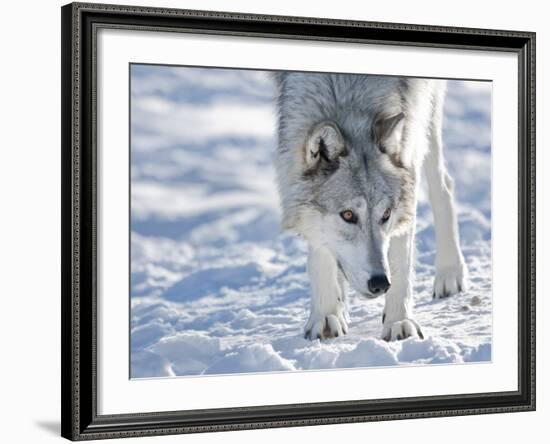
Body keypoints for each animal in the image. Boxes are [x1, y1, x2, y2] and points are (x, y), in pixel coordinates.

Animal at [274, 73, 468, 342]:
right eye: (347, 215)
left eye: (386, 215)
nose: (380, 283)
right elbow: (320, 248)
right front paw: (326, 315)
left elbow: (401, 256)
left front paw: (399, 322)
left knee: (443, 185)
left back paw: (450, 273)